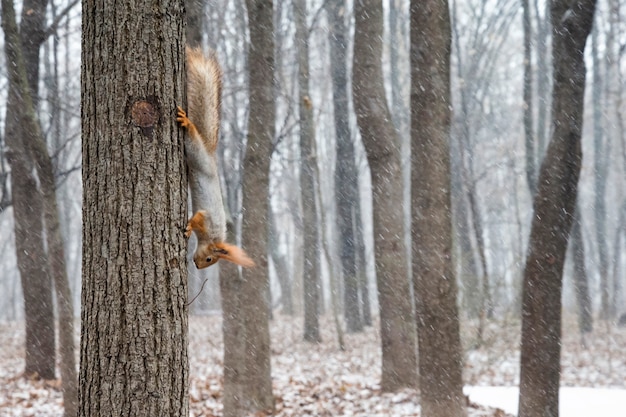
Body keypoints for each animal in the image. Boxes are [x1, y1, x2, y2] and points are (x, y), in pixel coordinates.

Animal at [176, 47, 254, 268]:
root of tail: (210, 156)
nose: (197, 265)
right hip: (197, 154)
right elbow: (196, 218)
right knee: (192, 137)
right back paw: (186, 122)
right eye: (210, 258)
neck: (212, 236)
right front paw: (188, 228)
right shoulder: (207, 217)